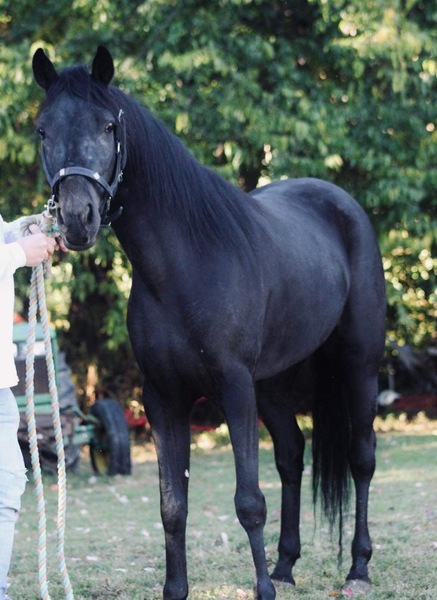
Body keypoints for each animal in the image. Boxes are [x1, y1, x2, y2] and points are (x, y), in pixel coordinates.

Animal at [32, 48, 384, 600]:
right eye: (43, 130)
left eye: (108, 126)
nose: (76, 219)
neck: (185, 267)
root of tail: (343, 205)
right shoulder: (163, 398)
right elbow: (172, 506)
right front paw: (179, 589)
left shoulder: (234, 388)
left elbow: (248, 501)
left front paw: (262, 591)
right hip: (275, 384)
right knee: (291, 456)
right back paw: (285, 565)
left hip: (359, 366)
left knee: (361, 459)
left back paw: (357, 567)